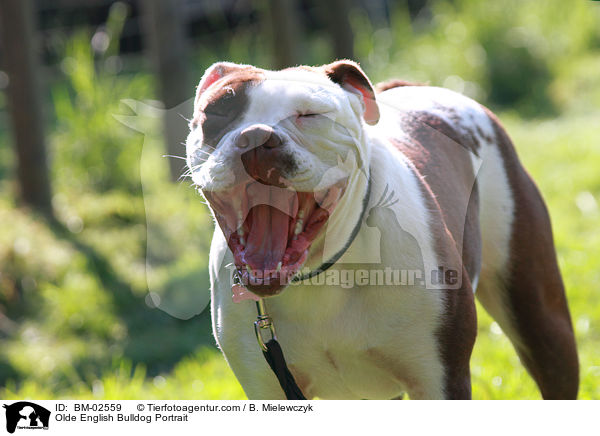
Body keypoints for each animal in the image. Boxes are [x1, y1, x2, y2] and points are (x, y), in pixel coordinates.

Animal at [186, 60, 576, 398]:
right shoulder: (270, 388)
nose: (255, 136)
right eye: (218, 111)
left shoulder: (440, 378)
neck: (320, 272)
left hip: (542, 321)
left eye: (310, 115)